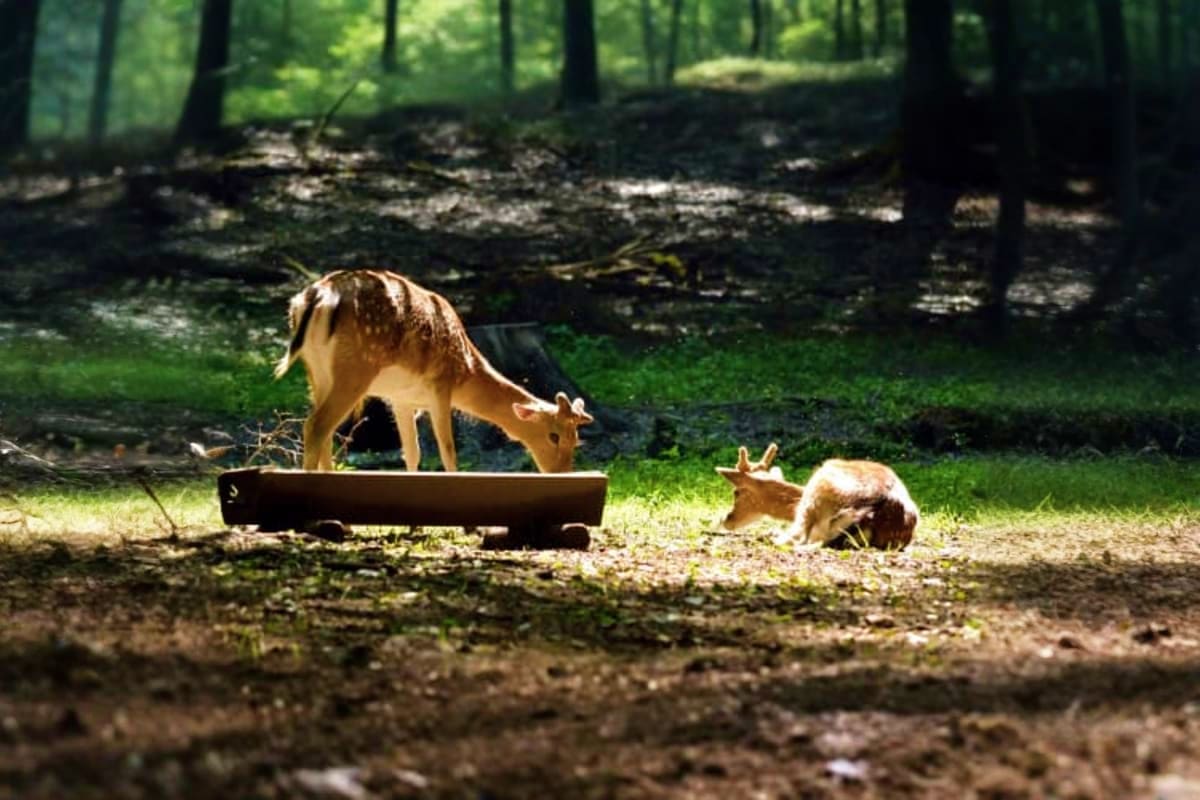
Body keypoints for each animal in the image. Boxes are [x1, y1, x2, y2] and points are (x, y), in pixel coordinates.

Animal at [274, 269, 594, 473]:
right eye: (554, 436)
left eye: (577, 439)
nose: (562, 472)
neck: (466, 368)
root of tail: (316, 298)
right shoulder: (440, 386)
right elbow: (448, 449)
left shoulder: (400, 399)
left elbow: (412, 452)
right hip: (354, 368)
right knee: (316, 426)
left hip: (316, 371)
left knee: (324, 430)